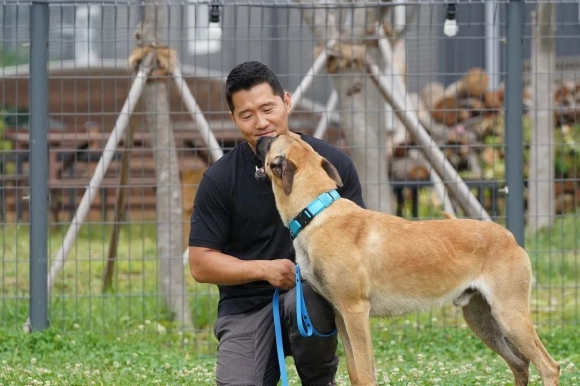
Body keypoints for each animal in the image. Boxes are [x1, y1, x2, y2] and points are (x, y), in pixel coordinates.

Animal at [256, 135, 560, 386]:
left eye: (271, 142)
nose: (258, 138)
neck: (316, 211)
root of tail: (508, 236)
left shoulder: (356, 313)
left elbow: (365, 374)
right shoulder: (341, 315)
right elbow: (355, 372)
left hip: (510, 316)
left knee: (548, 366)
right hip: (483, 320)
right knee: (520, 364)